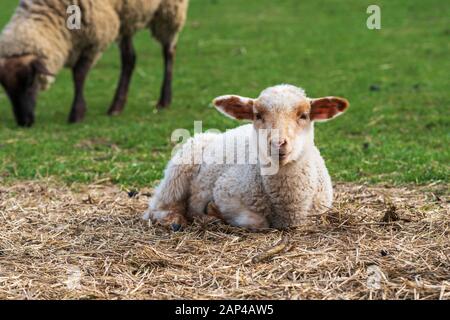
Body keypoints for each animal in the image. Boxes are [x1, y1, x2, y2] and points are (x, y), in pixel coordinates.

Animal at [0, 0, 189, 127]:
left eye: (30, 83)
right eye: (6, 89)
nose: (24, 122)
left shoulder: (96, 36)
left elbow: (79, 74)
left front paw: (77, 113)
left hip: (169, 9)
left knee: (169, 51)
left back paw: (164, 100)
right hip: (126, 15)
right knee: (129, 58)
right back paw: (116, 107)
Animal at [142, 84, 350, 231]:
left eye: (304, 115)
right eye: (257, 115)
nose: (278, 143)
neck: (288, 206)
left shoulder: (320, 209)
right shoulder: (225, 192)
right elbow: (257, 222)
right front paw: (213, 212)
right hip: (180, 168)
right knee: (157, 207)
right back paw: (175, 220)